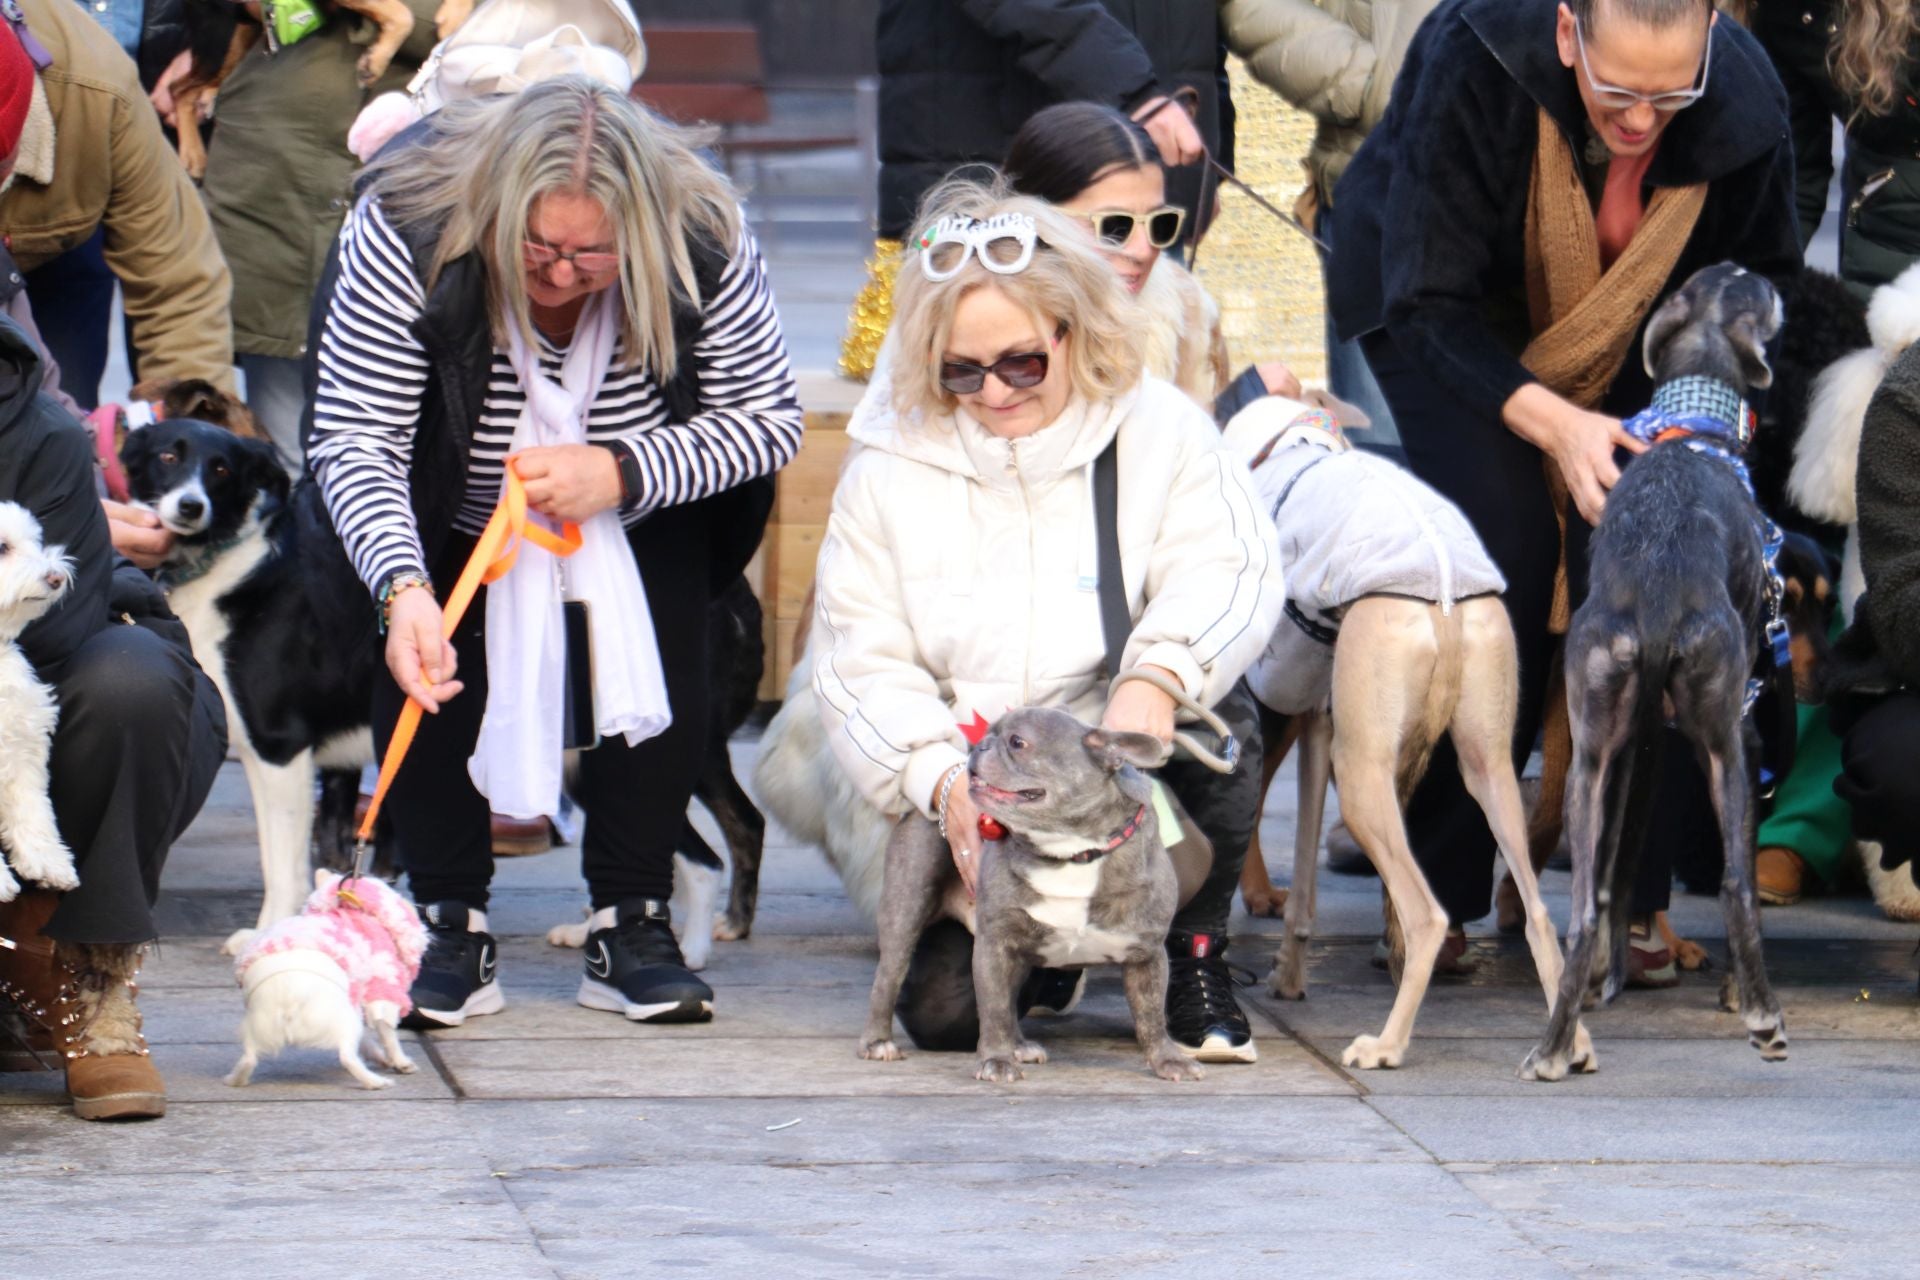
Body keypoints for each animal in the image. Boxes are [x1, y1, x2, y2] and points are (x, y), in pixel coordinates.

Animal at [228, 871, 428, 1090]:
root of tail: (288, 997)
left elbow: (368, 1040)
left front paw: (378, 1056)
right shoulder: (381, 988)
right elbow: (388, 1034)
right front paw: (401, 1062)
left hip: (257, 1027)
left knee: (249, 1058)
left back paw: (235, 1079)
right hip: (345, 1022)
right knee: (347, 1057)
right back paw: (376, 1082)